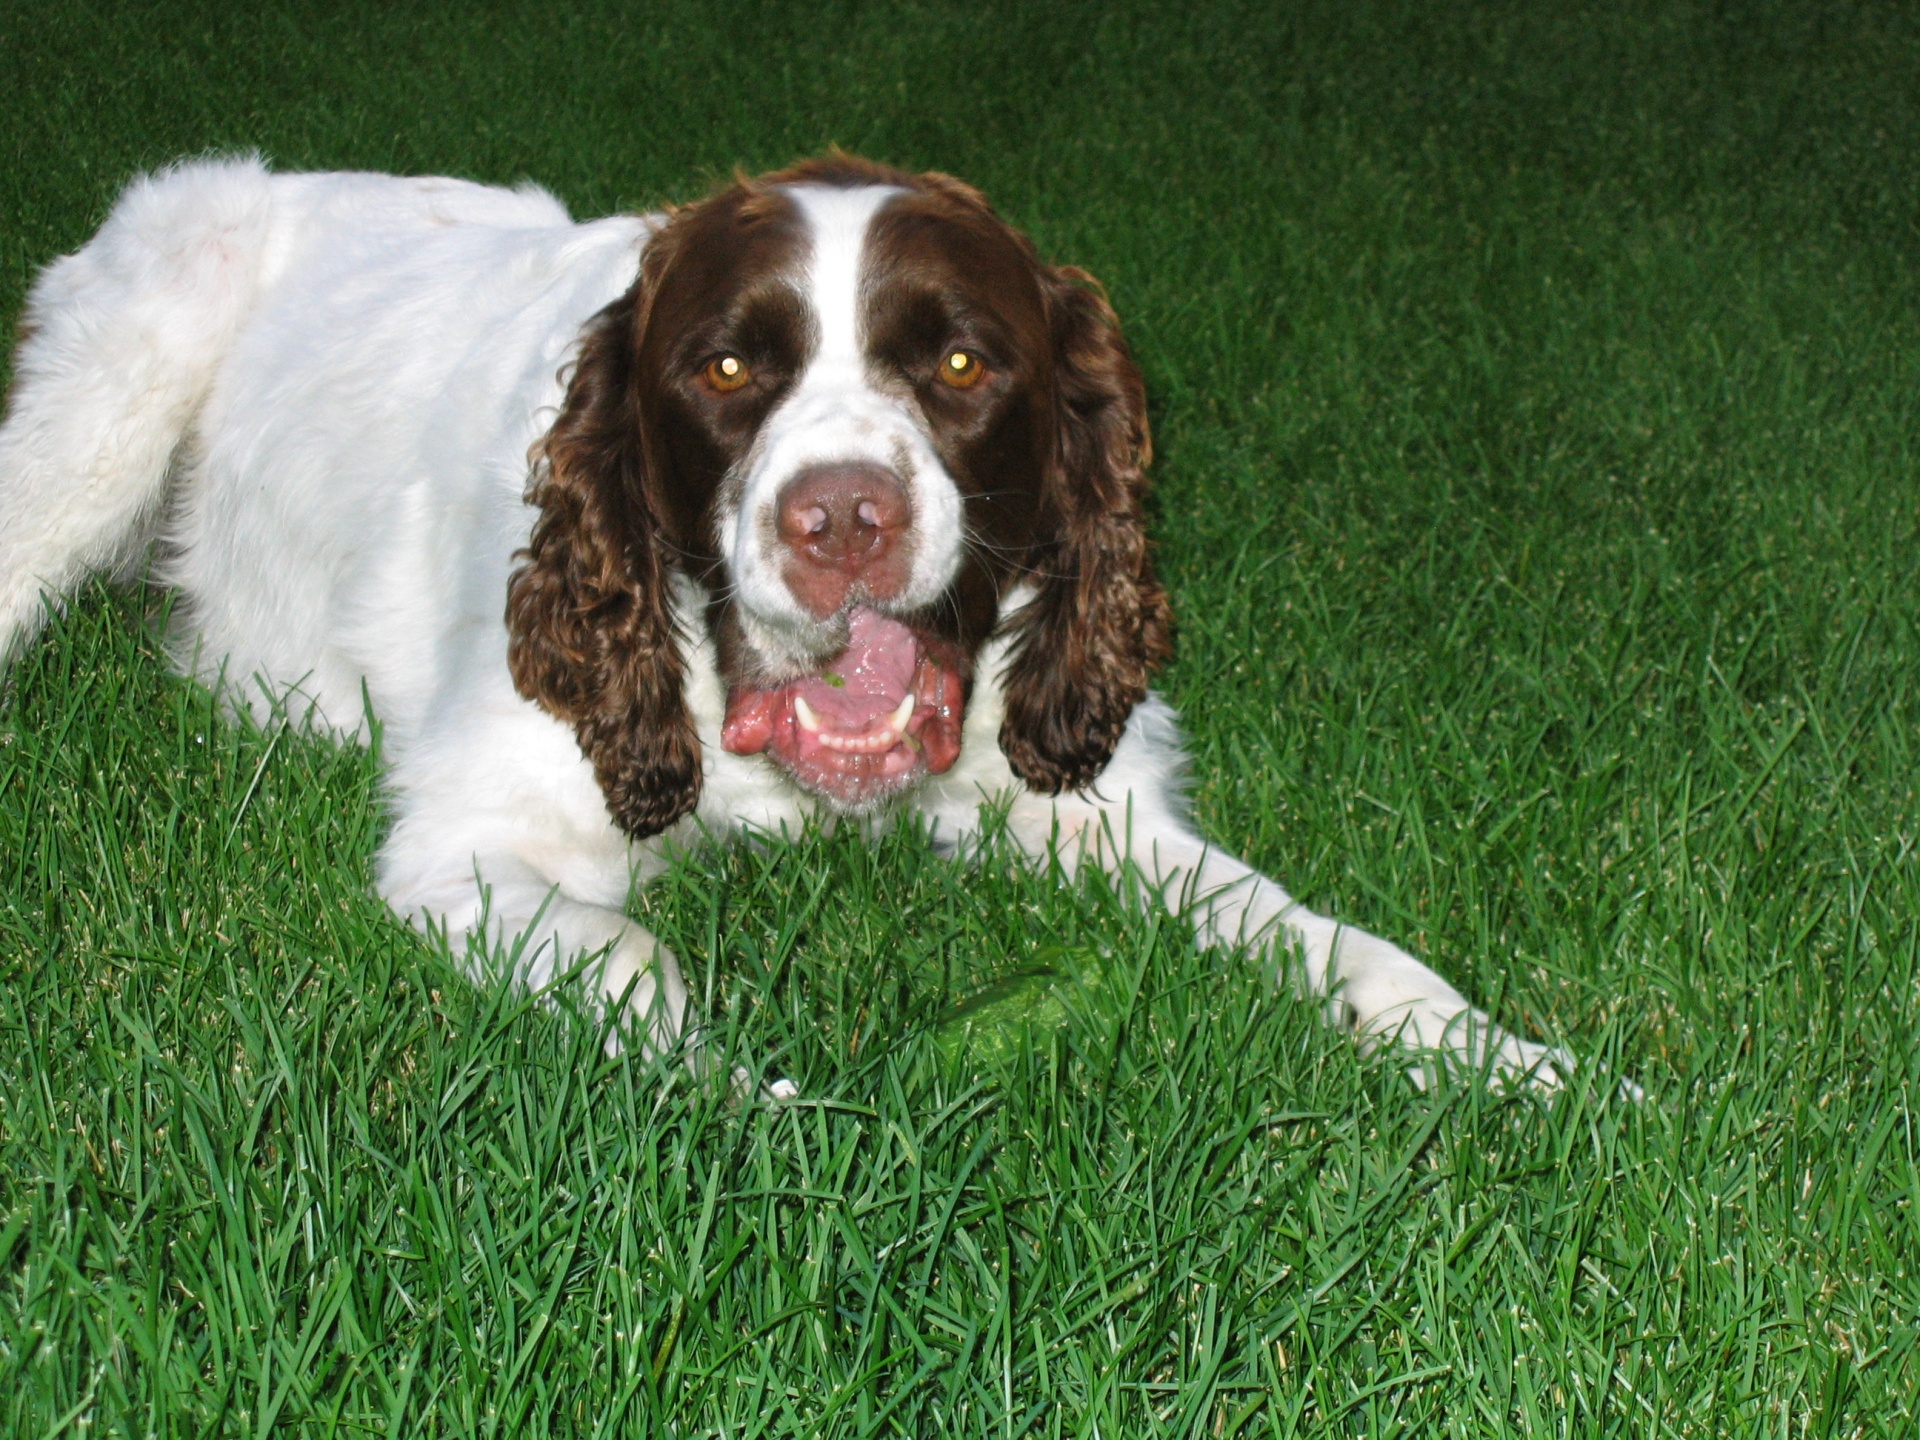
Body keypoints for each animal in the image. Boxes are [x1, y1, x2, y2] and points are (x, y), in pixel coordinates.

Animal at [0, 155, 1566, 1090]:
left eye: (959, 362)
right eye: (727, 367)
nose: (842, 520)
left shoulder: (1086, 809)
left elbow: (1317, 927)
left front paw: (1503, 1058)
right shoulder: (467, 845)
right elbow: (639, 960)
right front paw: (755, 1105)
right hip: (108, 402)